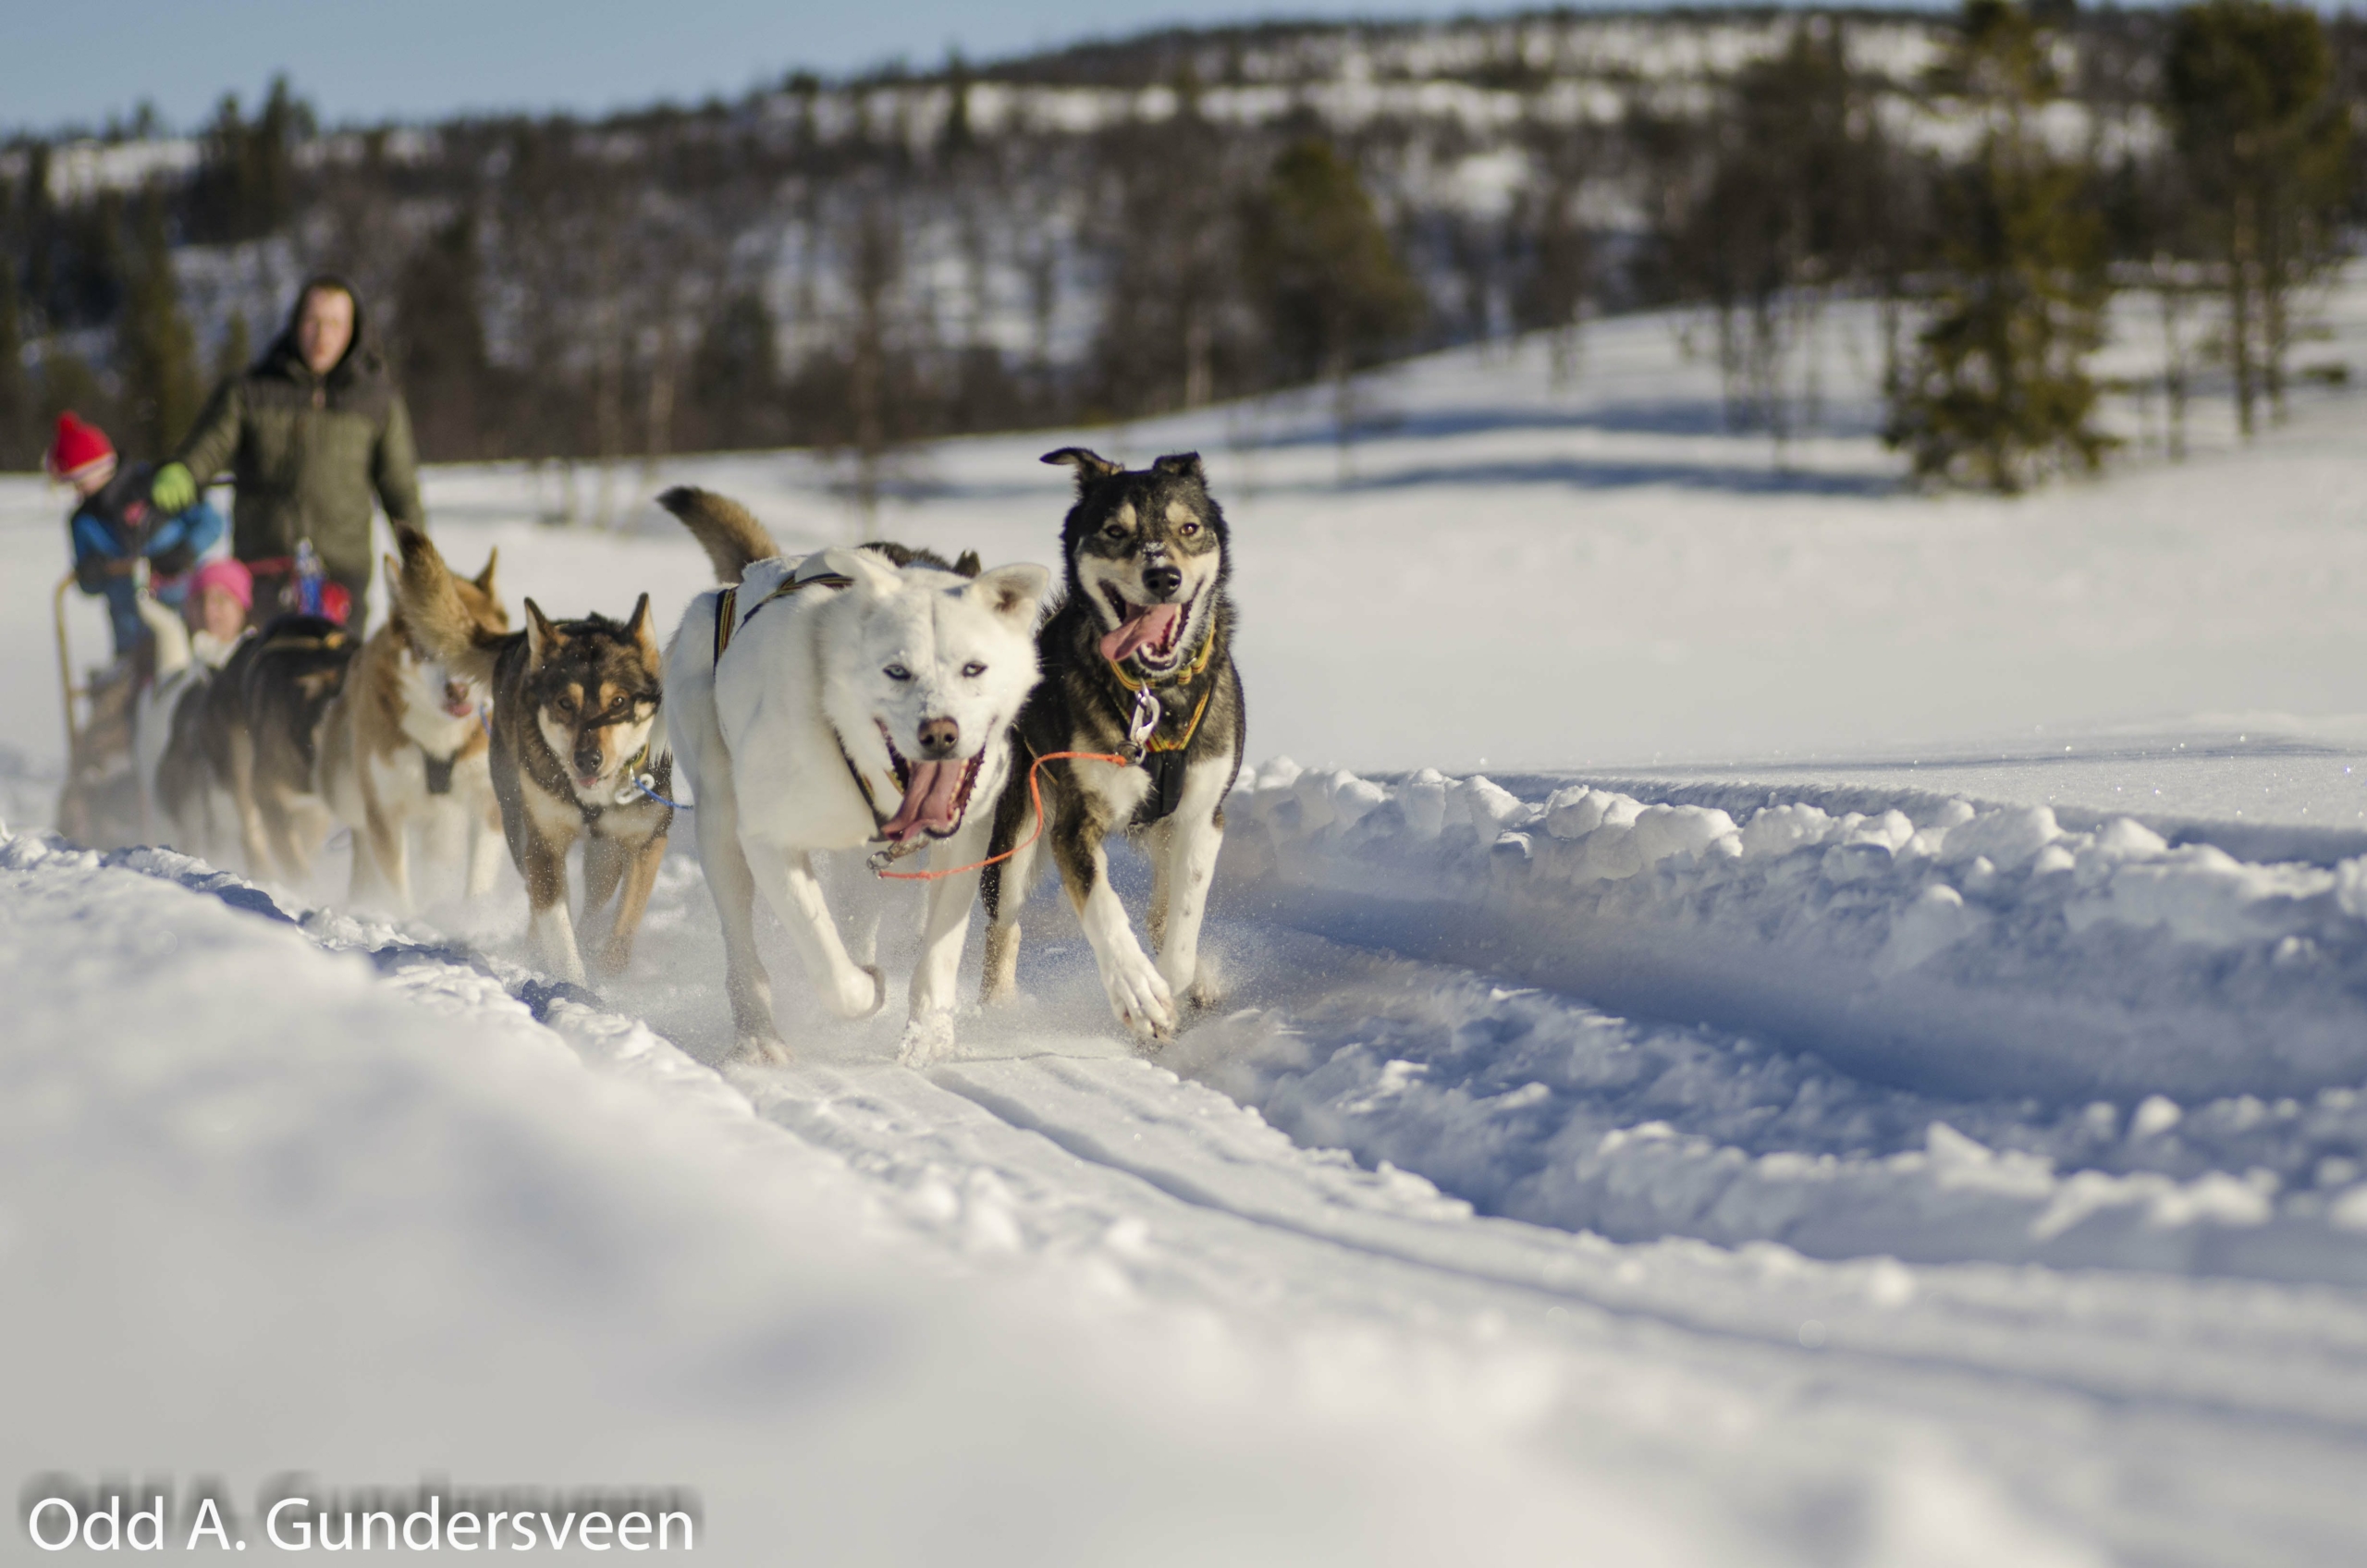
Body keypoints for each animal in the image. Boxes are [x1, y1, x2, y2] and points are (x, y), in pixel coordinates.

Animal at [653, 485, 1050, 1060]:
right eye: (896, 671)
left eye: (974, 668)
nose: (941, 733)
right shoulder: (767, 840)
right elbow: (832, 967)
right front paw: (867, 990)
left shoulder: (966, 836)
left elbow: (939, 952)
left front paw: (928, 1037)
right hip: (720, 821)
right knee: (745, 950)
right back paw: (759, 1035)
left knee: (857, 916)